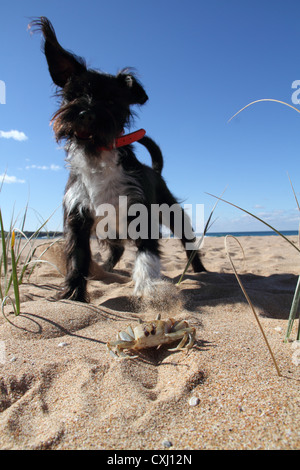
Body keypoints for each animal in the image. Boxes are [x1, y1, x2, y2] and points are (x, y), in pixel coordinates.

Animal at [32, 17, 206, 302]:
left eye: (112, 100)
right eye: (73, 94)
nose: (86, 114)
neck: (97, 155)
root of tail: (155, 170)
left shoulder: (142, 215)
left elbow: (147, 255)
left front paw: (147, 288)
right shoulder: (77, 217)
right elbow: (78, 257)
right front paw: (73, 294)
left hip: (173, 214)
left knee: (189, 245)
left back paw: (201, 270)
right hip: (110, 230)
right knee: (117, 251)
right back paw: (105, 270)